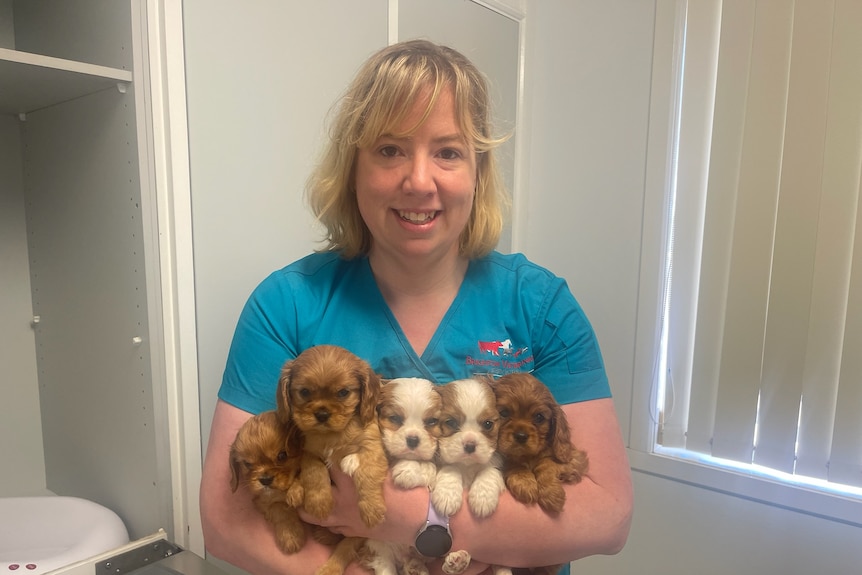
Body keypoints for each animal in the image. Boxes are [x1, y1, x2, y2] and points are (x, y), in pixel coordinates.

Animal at [230, 410, 308, 552]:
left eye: (282, 455)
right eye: (247, 464)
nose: (265, 480)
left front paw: (295, 491)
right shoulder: (262, 502)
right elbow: (278, 508)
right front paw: (290, 535)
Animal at [278, 344, 390, 528]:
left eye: (343, 392)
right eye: (304, 392)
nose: (322, 414)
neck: (330, 435)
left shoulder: (371, 447)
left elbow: (367, 475)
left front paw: (372, 509)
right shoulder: (309, 453)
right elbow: (314, 473)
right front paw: (319, 504)